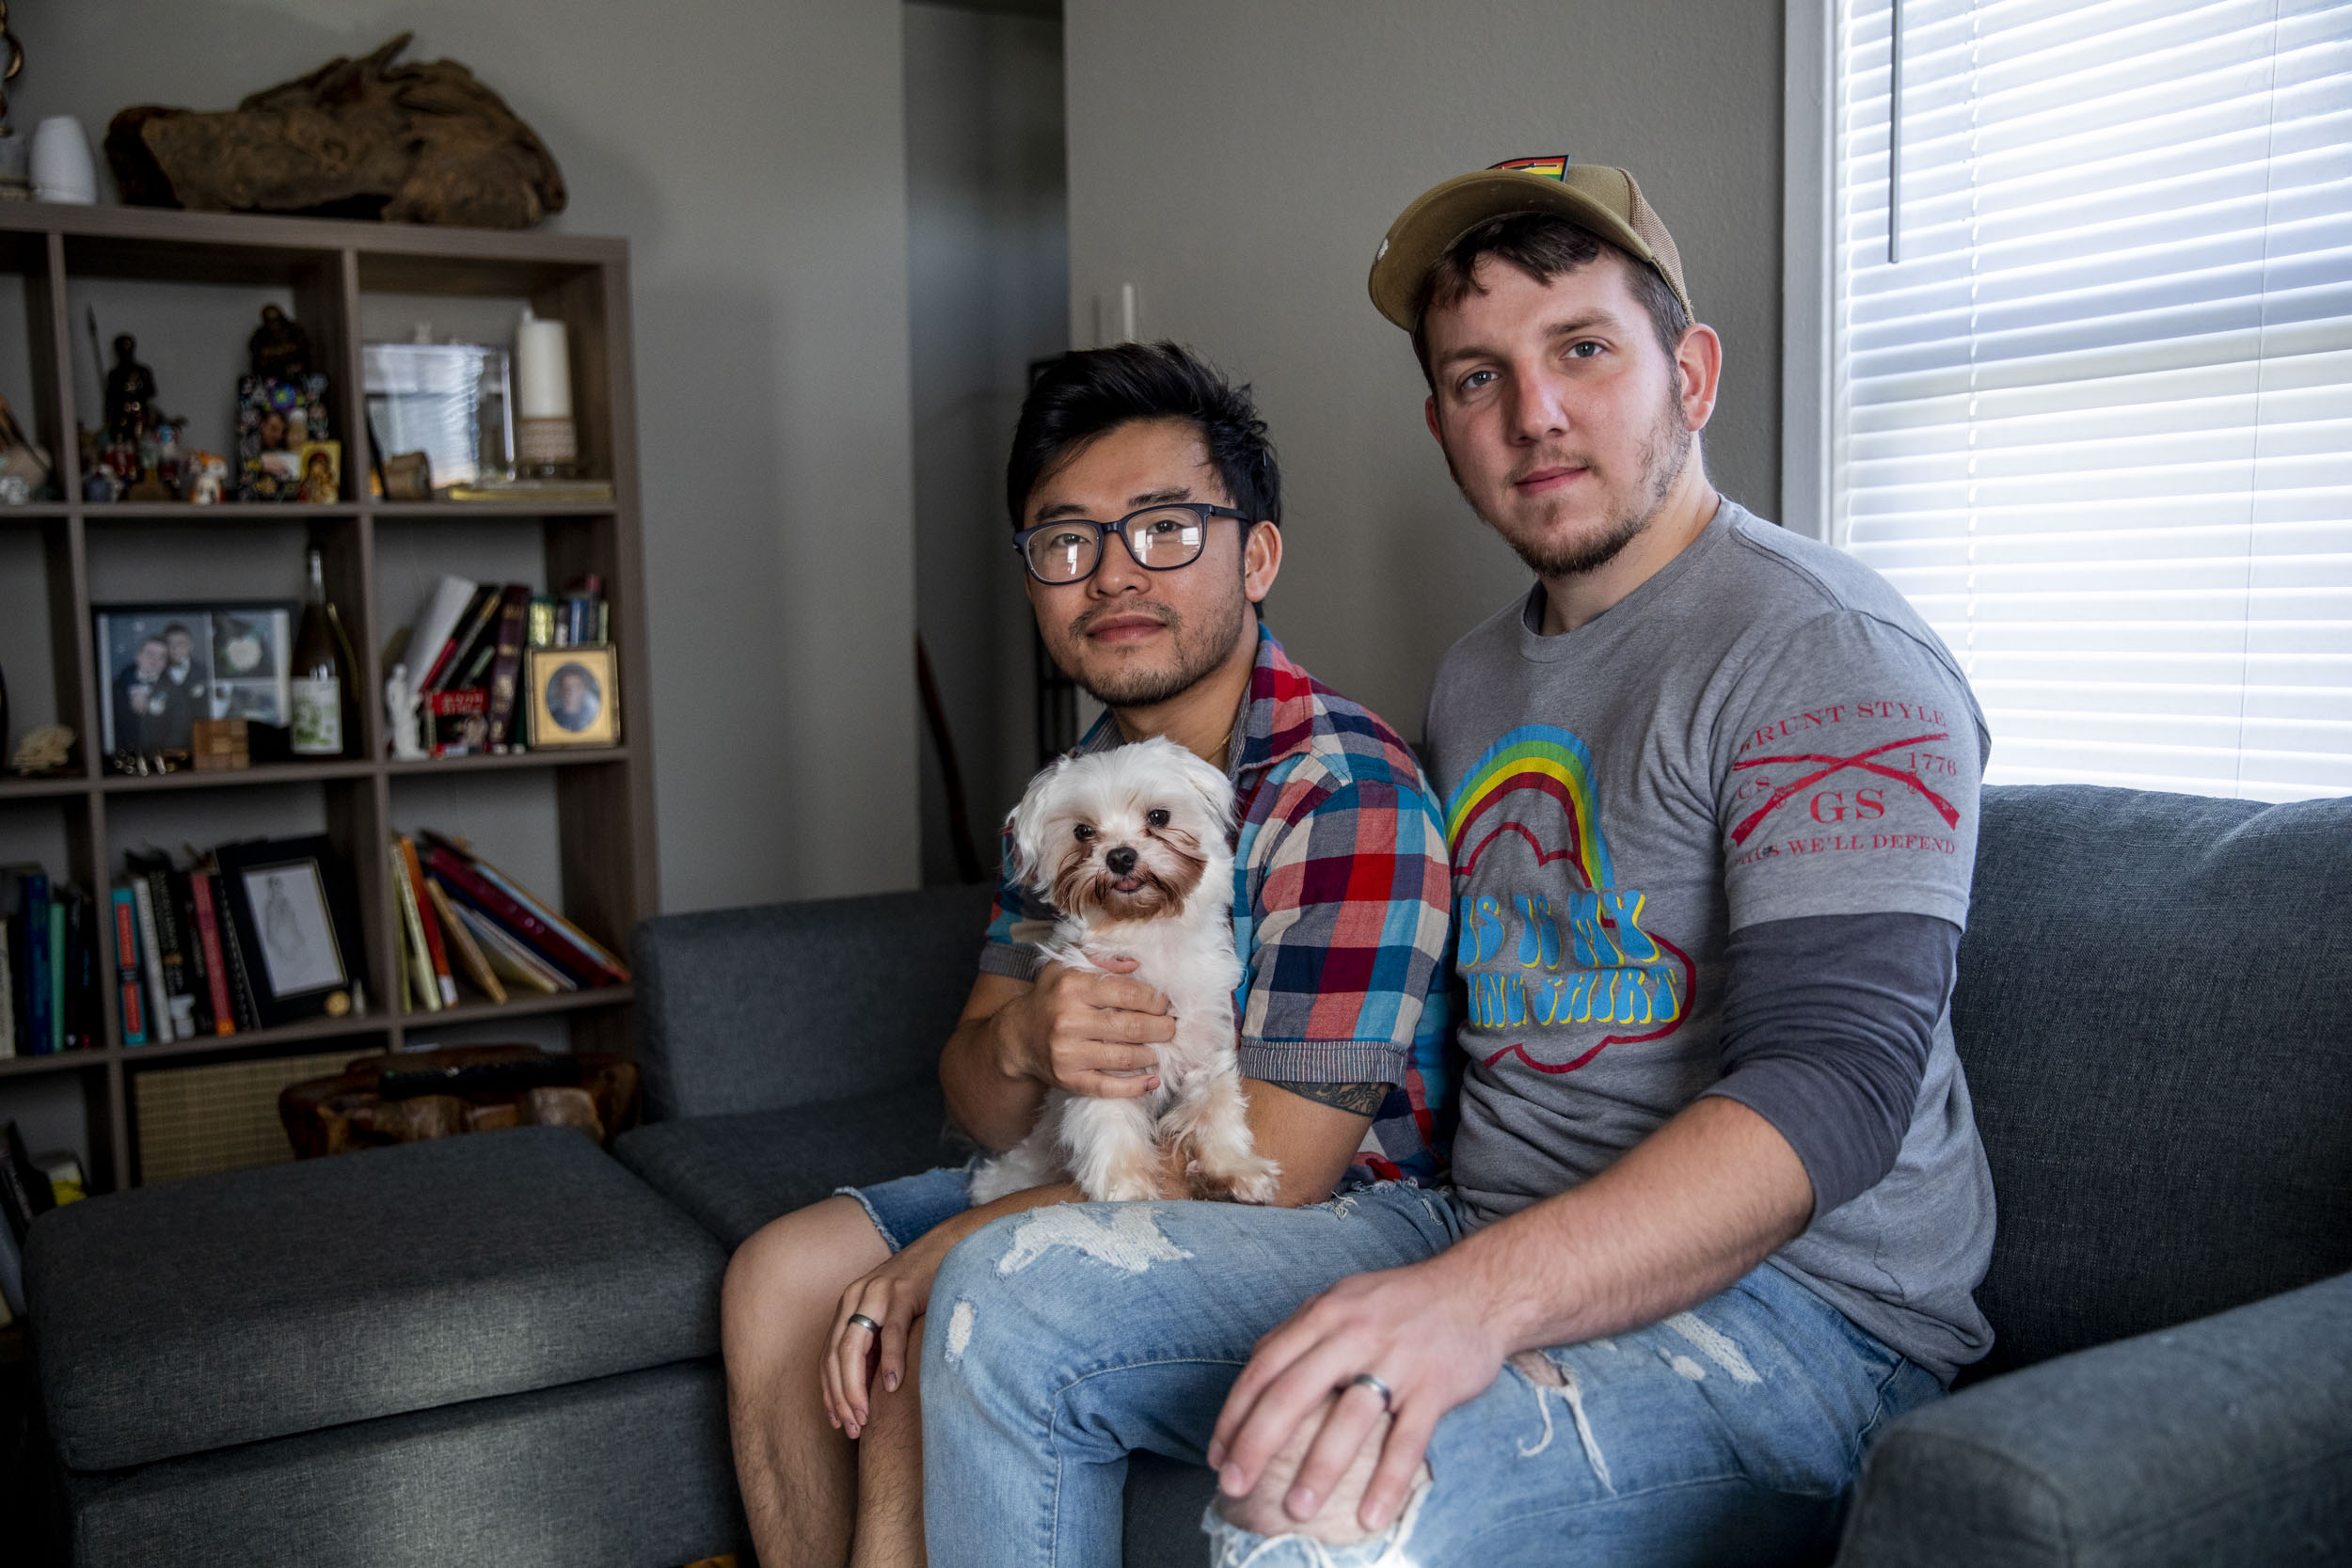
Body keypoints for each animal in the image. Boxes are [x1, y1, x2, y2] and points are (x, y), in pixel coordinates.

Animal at [964, 742, 1279, 1212]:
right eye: (1082, 832)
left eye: (1158, 817)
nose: (1120, 855)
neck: (1145, 929)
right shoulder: (1101, 1058)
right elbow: (1110, 1121)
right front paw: (1127, 1188)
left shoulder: (1206, 1046)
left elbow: (1217, 1106)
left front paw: (1234, 1169)